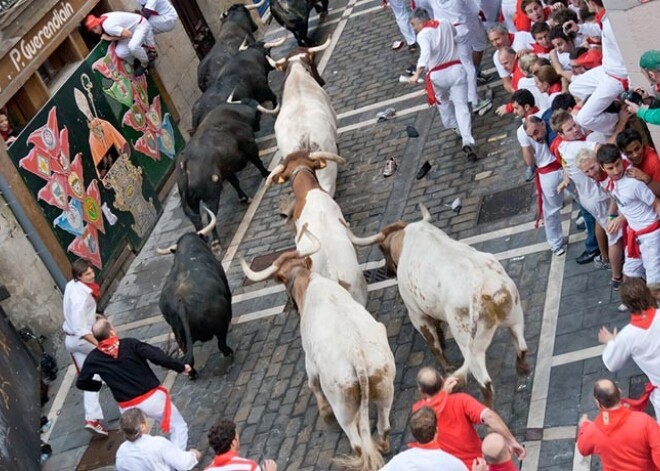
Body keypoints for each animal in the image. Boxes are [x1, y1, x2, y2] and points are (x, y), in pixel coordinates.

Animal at [159, 230, 233, 378]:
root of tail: (181, 302)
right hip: (220, 326)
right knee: (221, 343)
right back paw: (229, 353)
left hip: (180, 337)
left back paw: (192, 375)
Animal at [244, 230, 394, 470]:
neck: (307, 282)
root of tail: (357, 355)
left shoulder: (310, 360)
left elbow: (312, 383)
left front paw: (324, 412)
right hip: (385, 386)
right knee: (384, 426)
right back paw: (382, 444)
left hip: (341, 405)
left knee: (357, 442)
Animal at [348, 203, 528, 406]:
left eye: (382, 249)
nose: (387, 271)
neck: (406, 238)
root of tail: (484, 284)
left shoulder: (417, 315)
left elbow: (434, 344)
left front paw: (447, 366)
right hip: (515, 316)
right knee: (521, 347)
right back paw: (522, 369)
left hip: (471, 346)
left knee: (486, 383)